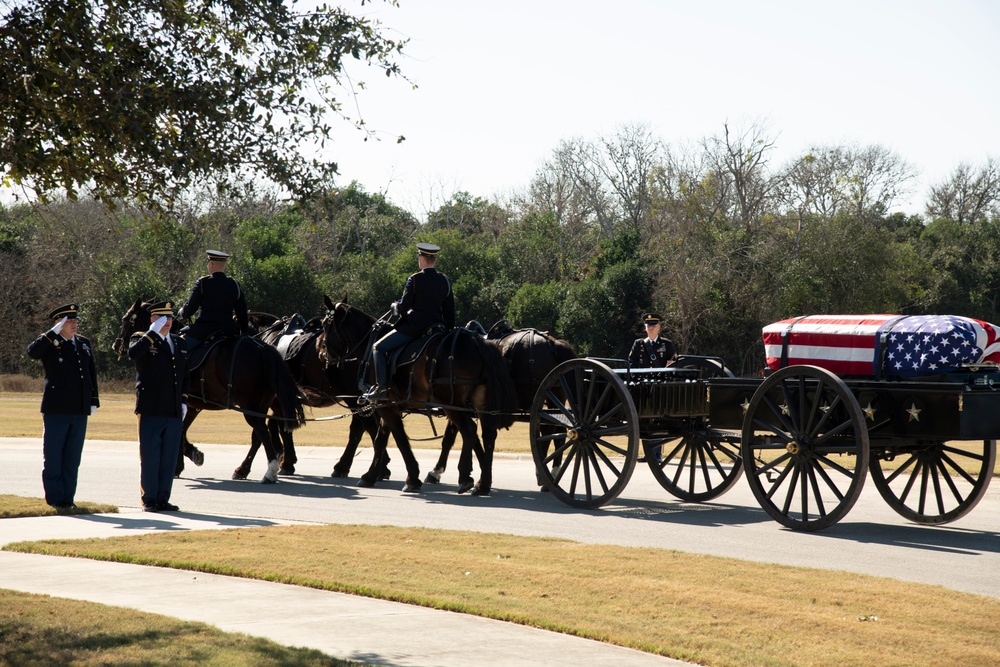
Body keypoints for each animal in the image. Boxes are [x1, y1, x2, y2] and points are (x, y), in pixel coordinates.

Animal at [112, 300, 304, 482]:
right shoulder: (191, 406)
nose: (117, 345)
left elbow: (180, 433)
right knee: (265, 432)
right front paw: (182, 462)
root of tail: (263, 348)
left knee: (262, 432)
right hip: (266, 404)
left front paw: (188, 456)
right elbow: (181, 431)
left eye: (126, 319)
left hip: (250, 406)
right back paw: (249, 468)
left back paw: (268, 471)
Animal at [236, 310, 384, 482]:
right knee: (362, 428)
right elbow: (279, 426)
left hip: (353, 398)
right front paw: (286, 459)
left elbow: (267, 430)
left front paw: (246, 468)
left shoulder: (270, 400)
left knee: (368, 427)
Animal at [322, 300, 524, 494]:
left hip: (452, 405)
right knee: (487, 434)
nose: (324, 354)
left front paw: (412, 478)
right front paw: (372, 475)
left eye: (325, 325)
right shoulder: (388, 405)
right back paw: (483, 483)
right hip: (479, 404)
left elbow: (400, 439)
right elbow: (381, 438)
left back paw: (465, 477)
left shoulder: (385, 405)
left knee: (469, 430)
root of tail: (478, 343)